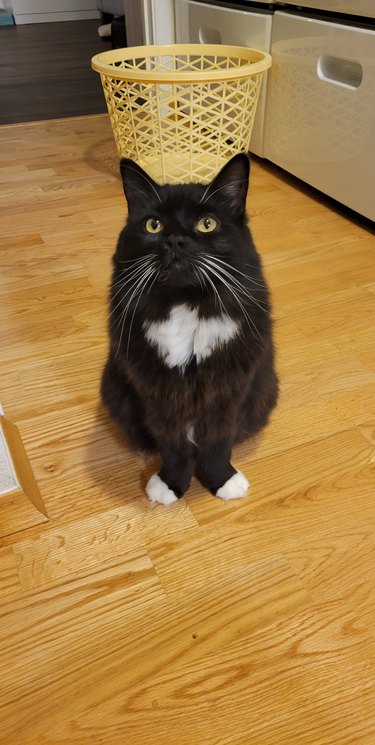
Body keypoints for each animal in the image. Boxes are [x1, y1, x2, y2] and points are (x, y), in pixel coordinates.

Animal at [101, 153, 278, 502]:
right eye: (153, 225)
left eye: (207, 224)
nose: (175, 240)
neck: (185, 302)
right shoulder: (156, 392)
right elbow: (173, 446)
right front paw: (171, 484)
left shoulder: (228, 390)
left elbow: (219, 442)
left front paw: (222, 480)